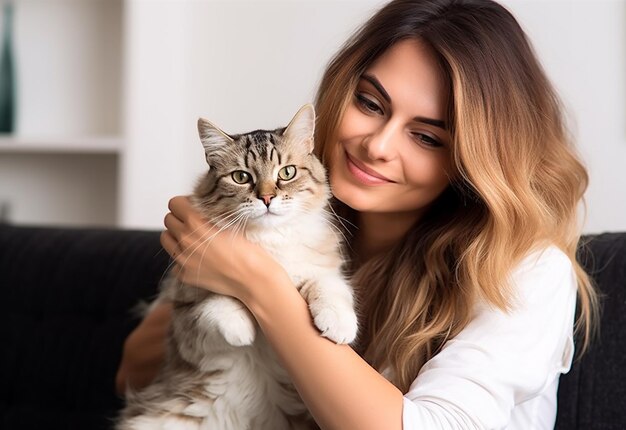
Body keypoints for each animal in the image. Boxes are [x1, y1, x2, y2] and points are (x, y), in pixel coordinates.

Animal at [116, 105, 356, 430]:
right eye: (241, 177)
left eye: (287, 173)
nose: (267, 198)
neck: (268, 242)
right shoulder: (184, 317)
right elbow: (216, 304)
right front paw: (243, 331)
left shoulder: (323, 268)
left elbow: (330, 286)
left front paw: (339, 326)